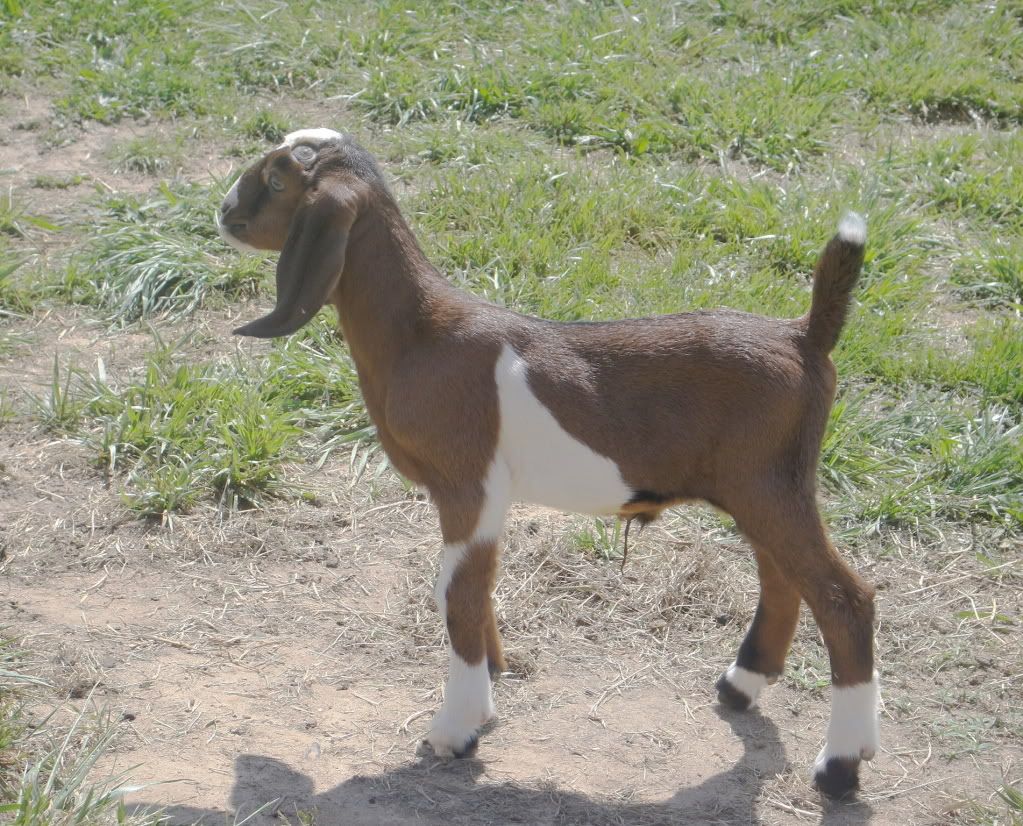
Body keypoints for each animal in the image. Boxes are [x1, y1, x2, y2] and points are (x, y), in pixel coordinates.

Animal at [218, 128, 879, 799]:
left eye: (278, 179)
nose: (224, 212)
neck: (421, 334)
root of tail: (805, 335)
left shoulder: (468, 485)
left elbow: (457, 591)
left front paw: (457, 729)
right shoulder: (476, 496)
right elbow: (468, 586)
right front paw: (488, 685)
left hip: (769, 486)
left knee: (843, 598)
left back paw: (839, 765)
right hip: (761, 487)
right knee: (783, 578)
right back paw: (741, 685)